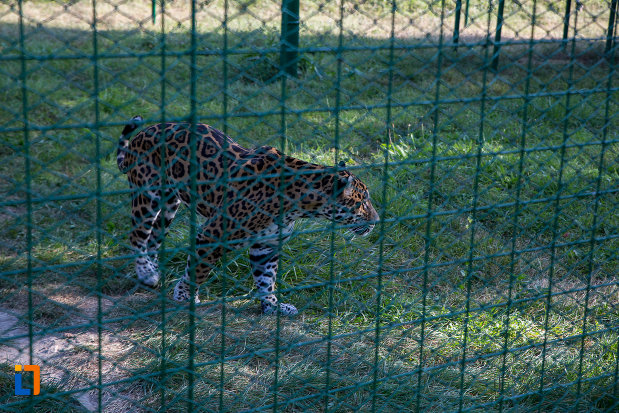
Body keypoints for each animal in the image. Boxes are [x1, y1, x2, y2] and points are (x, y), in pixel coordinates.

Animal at [115, 114, 378, 314]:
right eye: (363, 201)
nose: (376, 221)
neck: (298, 204)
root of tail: (145, 131)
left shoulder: (266, 246)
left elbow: (266, 280)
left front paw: (273, 307)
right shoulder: (211, 236)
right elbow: (198, 270)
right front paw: (185, 296)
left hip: (170, 204)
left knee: (154, 240)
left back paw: (152, 272)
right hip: (148, 196)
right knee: (137, 236)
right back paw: (146, 273)